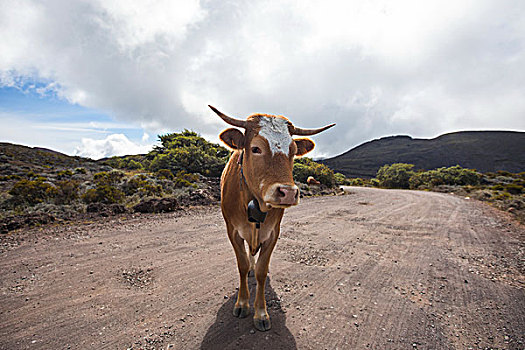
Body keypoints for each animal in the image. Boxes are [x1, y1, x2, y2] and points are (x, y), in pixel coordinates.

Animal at [210, 106, 336, 330]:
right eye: (255, 148)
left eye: (293, 151)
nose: (288, 192)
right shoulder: (232, 231)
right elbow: (242, 265)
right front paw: (242, 303)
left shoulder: (273, 233)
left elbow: (262, 271)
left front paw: (261, 313)